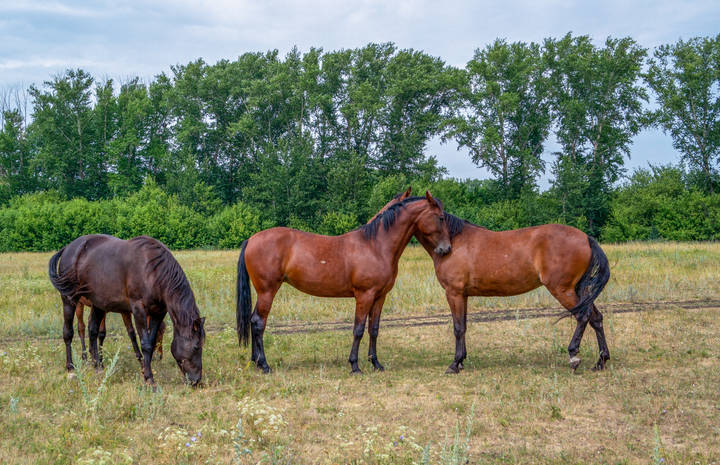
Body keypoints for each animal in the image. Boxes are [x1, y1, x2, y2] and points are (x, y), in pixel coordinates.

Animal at [49, 235, 205, 385]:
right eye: (196, 347)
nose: (196, 380)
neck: (152, 272)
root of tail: (68, 248)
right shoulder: (138, 309)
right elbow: (145, 344)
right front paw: (149, 378)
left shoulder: (158, 313)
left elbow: (151, 341)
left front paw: (145, 371)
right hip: (70, 299)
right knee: (68, 332)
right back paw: (70, 367)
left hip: (98, 304)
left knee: (92, 330)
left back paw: (97, 366)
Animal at [236, 191, 452, 374]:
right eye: (440, 217)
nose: (446, 249)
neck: (375, 245)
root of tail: (251, 239)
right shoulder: (364, 295)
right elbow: (358, 329)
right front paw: (355, 366)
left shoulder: (380, 296)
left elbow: (374, 329)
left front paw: (376, 363)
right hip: (268, 291)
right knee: (258, 322)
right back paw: (264, 365)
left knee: (253, 320)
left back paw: (256, 361)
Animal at [383, 188, 611, 374]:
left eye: (440, 217)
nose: (444, 249)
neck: (456, 241)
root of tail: (586, 238)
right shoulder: (463, 295)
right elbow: (463, 326)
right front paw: (461, 361)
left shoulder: (453, 293)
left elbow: (458, 328)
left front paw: (454, 364)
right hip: (578, 290)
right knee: (596, 317)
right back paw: (601, 362)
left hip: (562, 290)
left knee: (583, 316)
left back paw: (574, 356)